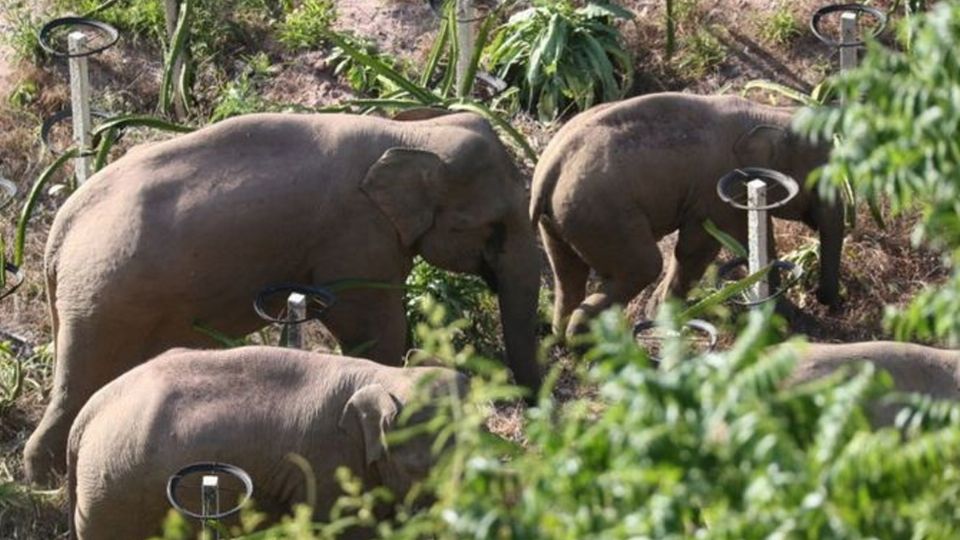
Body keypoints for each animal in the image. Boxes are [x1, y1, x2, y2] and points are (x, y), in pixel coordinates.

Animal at [22, 112, 544, 484]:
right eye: (493, 228)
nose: (533, 415)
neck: (410, 132)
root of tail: (60, 230)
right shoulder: (357, 237)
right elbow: (375, 326)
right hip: (105, 298)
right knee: (80, 378)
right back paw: (45, 478)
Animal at [528, 92, 844, 338]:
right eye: (818, 180)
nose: (828, 301)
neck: (763, 112)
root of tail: (549, 168)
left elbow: (757, 238)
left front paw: (783, 315)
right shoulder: (715, 189)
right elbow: (697, 248)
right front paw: (662, 316)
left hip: (560, 220)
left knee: (568, 273)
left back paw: (563, 337)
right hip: (602, 216)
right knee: (645, 266)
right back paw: (588, 346)